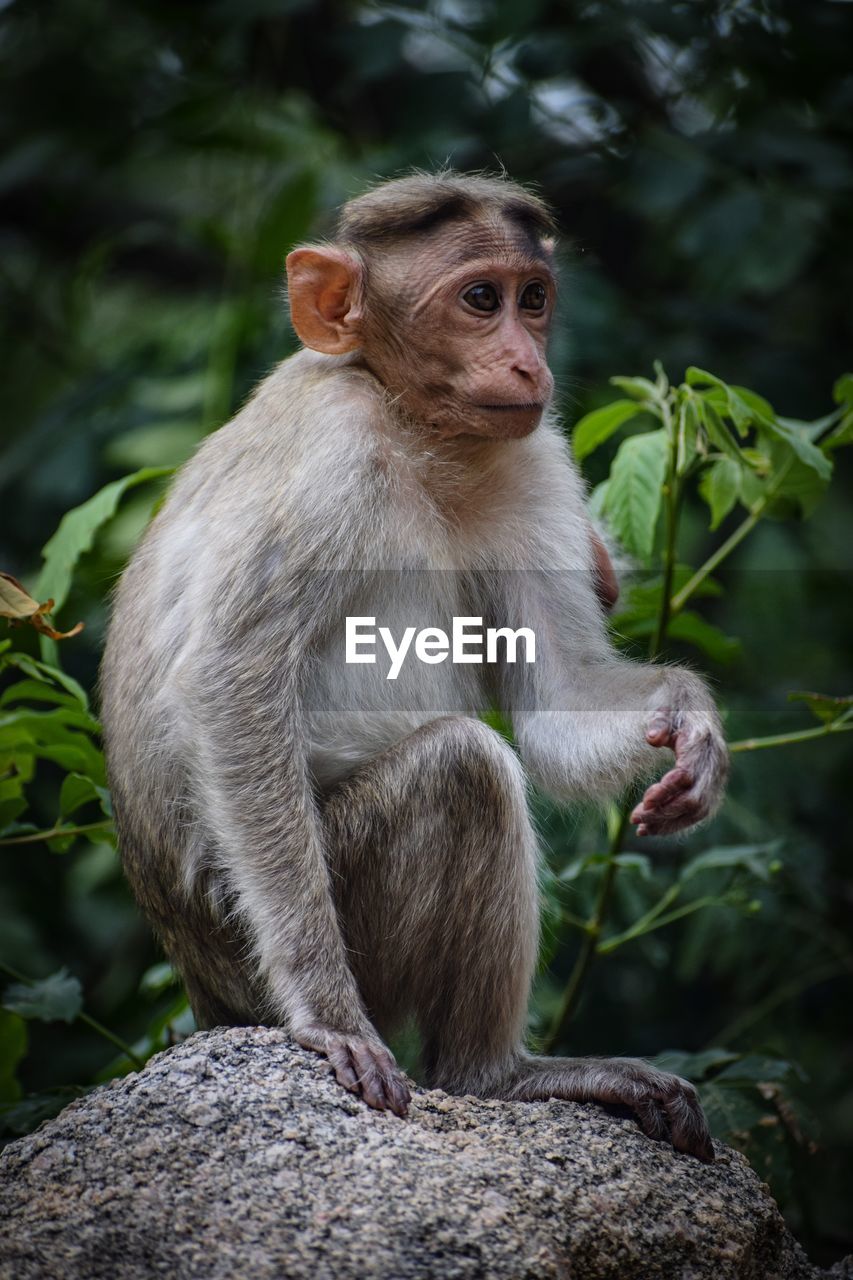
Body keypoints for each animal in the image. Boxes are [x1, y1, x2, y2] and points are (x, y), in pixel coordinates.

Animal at [99, 167, 722, 1162]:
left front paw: (690, 722)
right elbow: (232, 681)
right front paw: (327, 1015)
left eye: (531, 298)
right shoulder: (331, 459)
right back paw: (487, 1075)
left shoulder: (530, 453)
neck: (409, 424)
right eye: (478, 301)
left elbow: (557, 706)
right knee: (463, 769)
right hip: (259, 942)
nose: (527, 362)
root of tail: (202, 991)